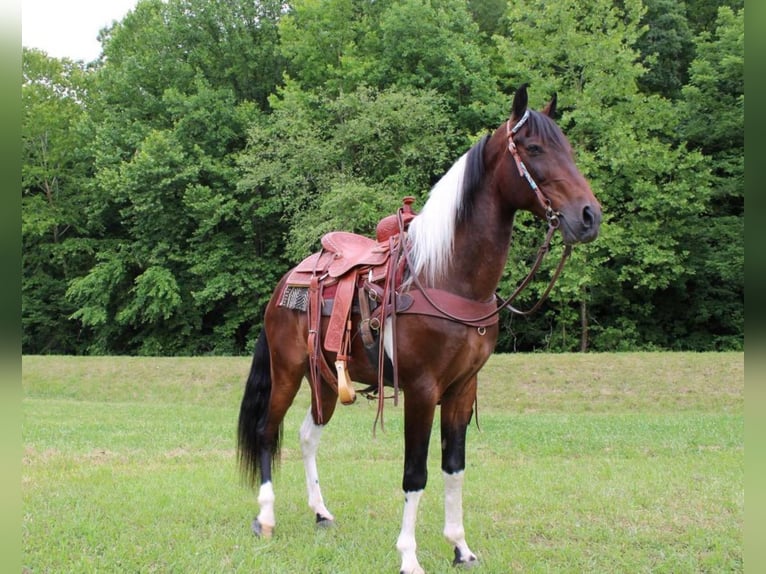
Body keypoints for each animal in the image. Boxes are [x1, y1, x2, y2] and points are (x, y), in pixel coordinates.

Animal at [237, 83, 604, 572]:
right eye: (534, 149)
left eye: (570, 150)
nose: (588, 216)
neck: (446, 275)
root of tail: (286, 282)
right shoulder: (422, 390)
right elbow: (415, 473)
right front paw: (409, 555)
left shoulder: (462, 389)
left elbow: (454, 468)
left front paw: (460, 547)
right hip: (287, 371)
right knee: (266, 431)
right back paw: (266, 518)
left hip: (326, 381)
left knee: (306, 435)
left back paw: (321, 512)